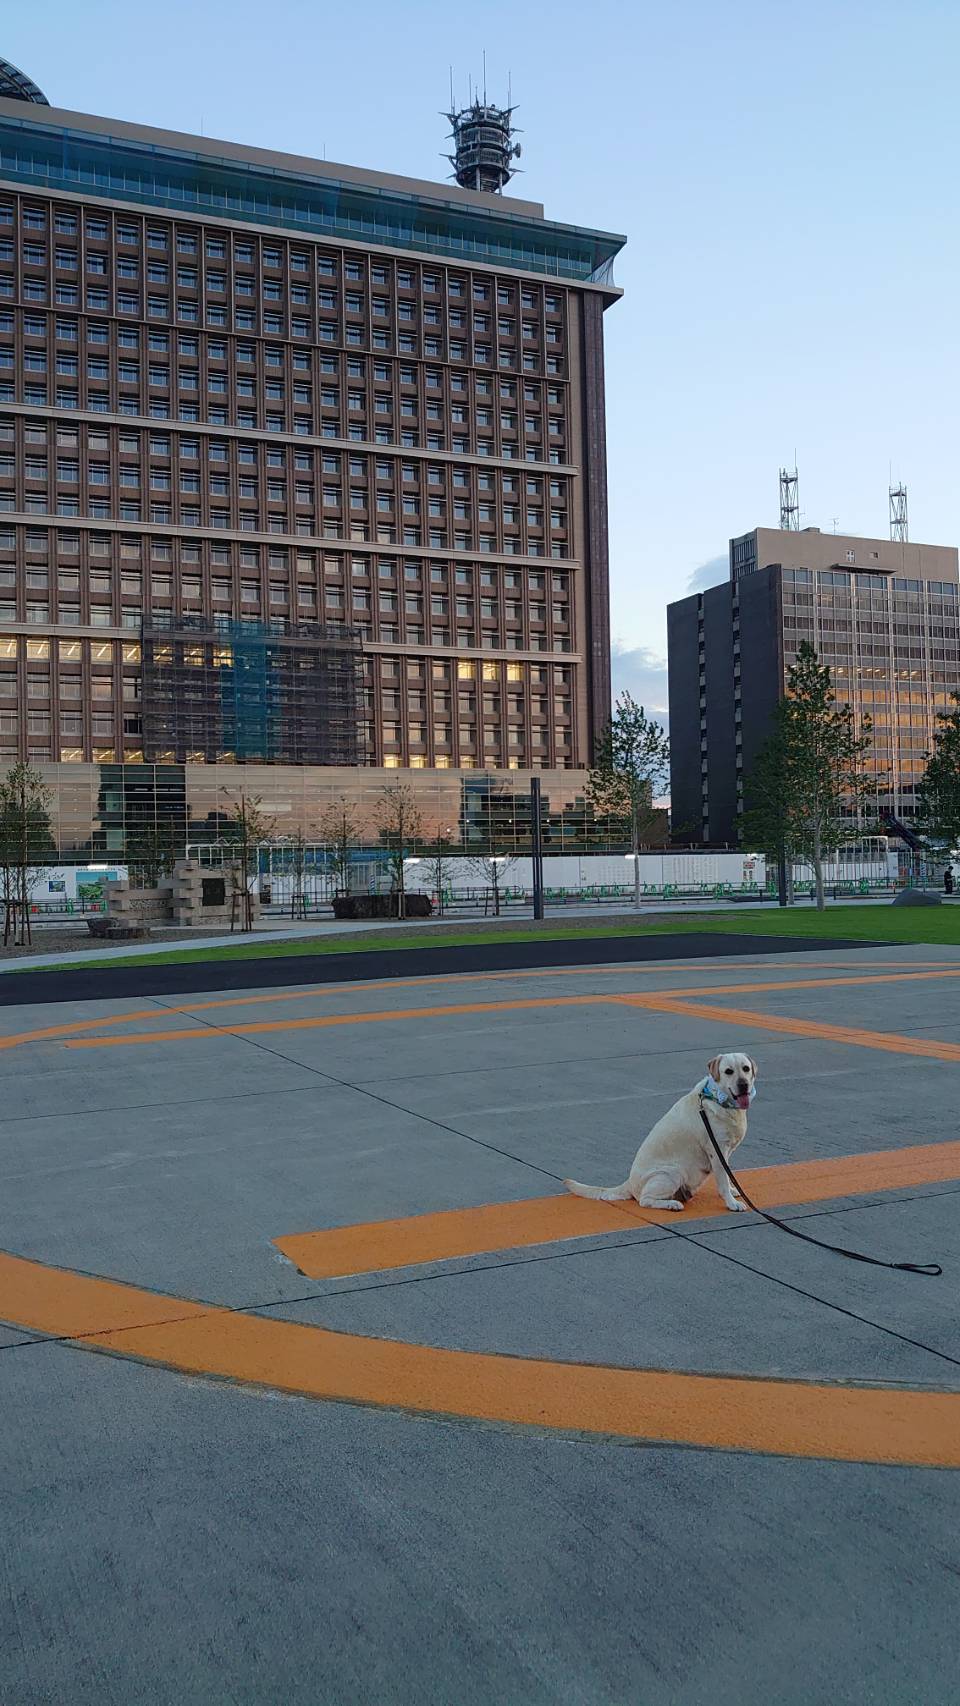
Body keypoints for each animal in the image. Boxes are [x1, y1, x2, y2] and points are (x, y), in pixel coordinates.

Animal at [562, 1050, 760, 1214]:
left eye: (746, 1069)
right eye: (728, 1071)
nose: (743, 1084)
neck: (718, 1100)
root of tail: (629, 1183)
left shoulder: (725, 1153)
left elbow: (728, 1175)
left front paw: (734, 1191)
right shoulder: (716, 1151)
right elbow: (723, 1181)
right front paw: (731, 1203)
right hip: (671, 1173)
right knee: (644, 1201)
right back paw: (672, 1204)